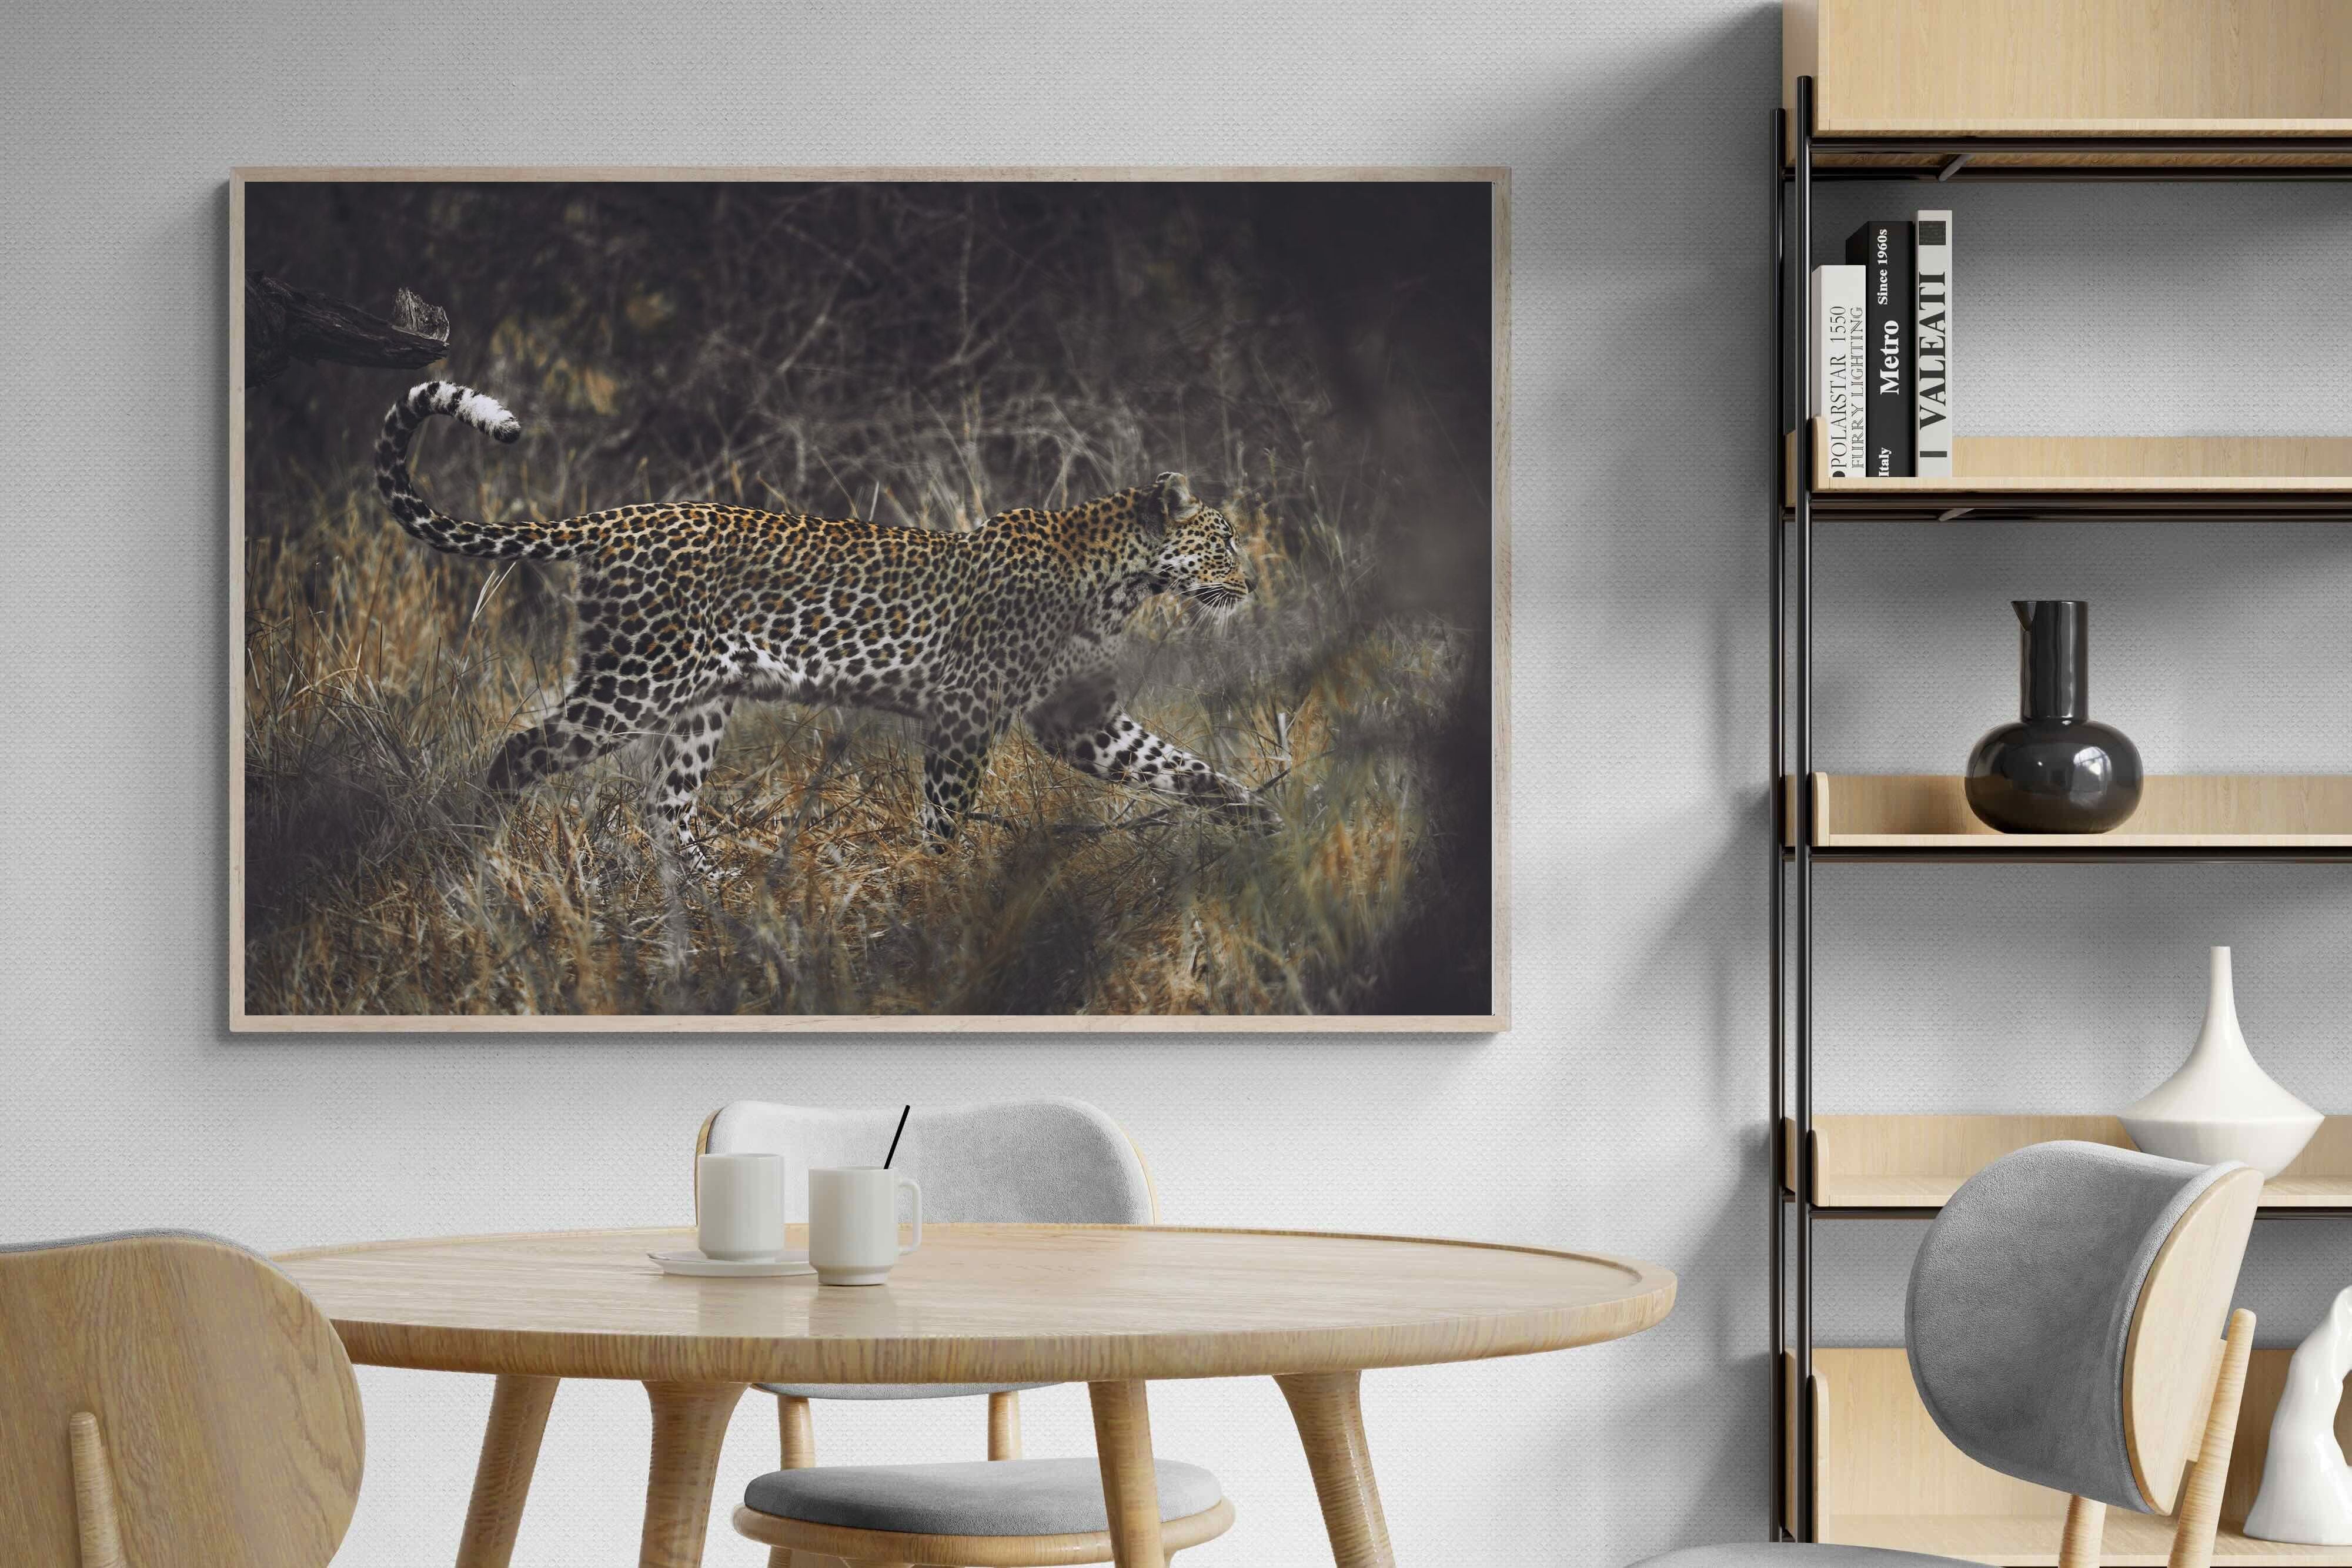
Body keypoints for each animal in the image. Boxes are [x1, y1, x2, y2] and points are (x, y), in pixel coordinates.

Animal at [375, 379, 1268, 876]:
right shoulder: (966, 710)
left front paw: (1261, 819)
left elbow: (1180, 767)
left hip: (700, 699)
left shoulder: (1077, 720)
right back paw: (481, 857)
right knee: (520, 752)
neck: (1119, 582)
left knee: (666, 805)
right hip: (636, 681)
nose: (1252, 582)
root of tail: (615, 517)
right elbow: (945, 813)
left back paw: (717, 898)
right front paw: (933, 893)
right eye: (1222, 539)